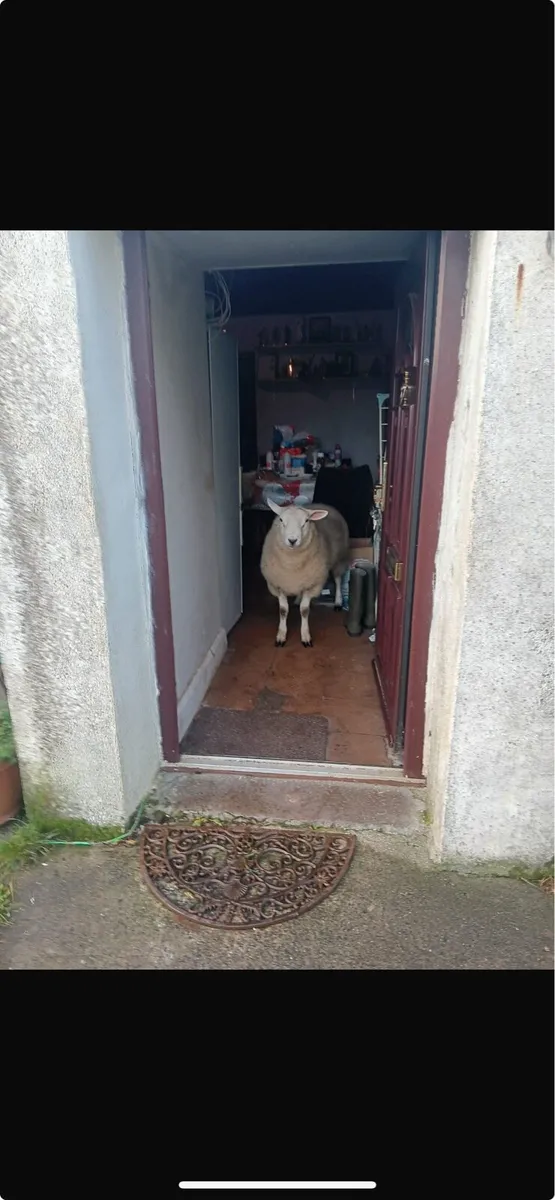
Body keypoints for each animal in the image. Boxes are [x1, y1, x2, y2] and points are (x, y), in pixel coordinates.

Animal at [261, 500, 350, 647]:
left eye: (306, 521)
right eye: (281, 519)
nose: (292, 540)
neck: (292, 564)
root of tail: (323, 504)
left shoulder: (312, 584)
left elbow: (304, 611)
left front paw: (305, 636)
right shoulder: (278, 585)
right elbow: (283, 611)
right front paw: (281, 636)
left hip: (340, 558)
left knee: (337, 579)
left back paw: (338, 602)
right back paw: (297, 600)